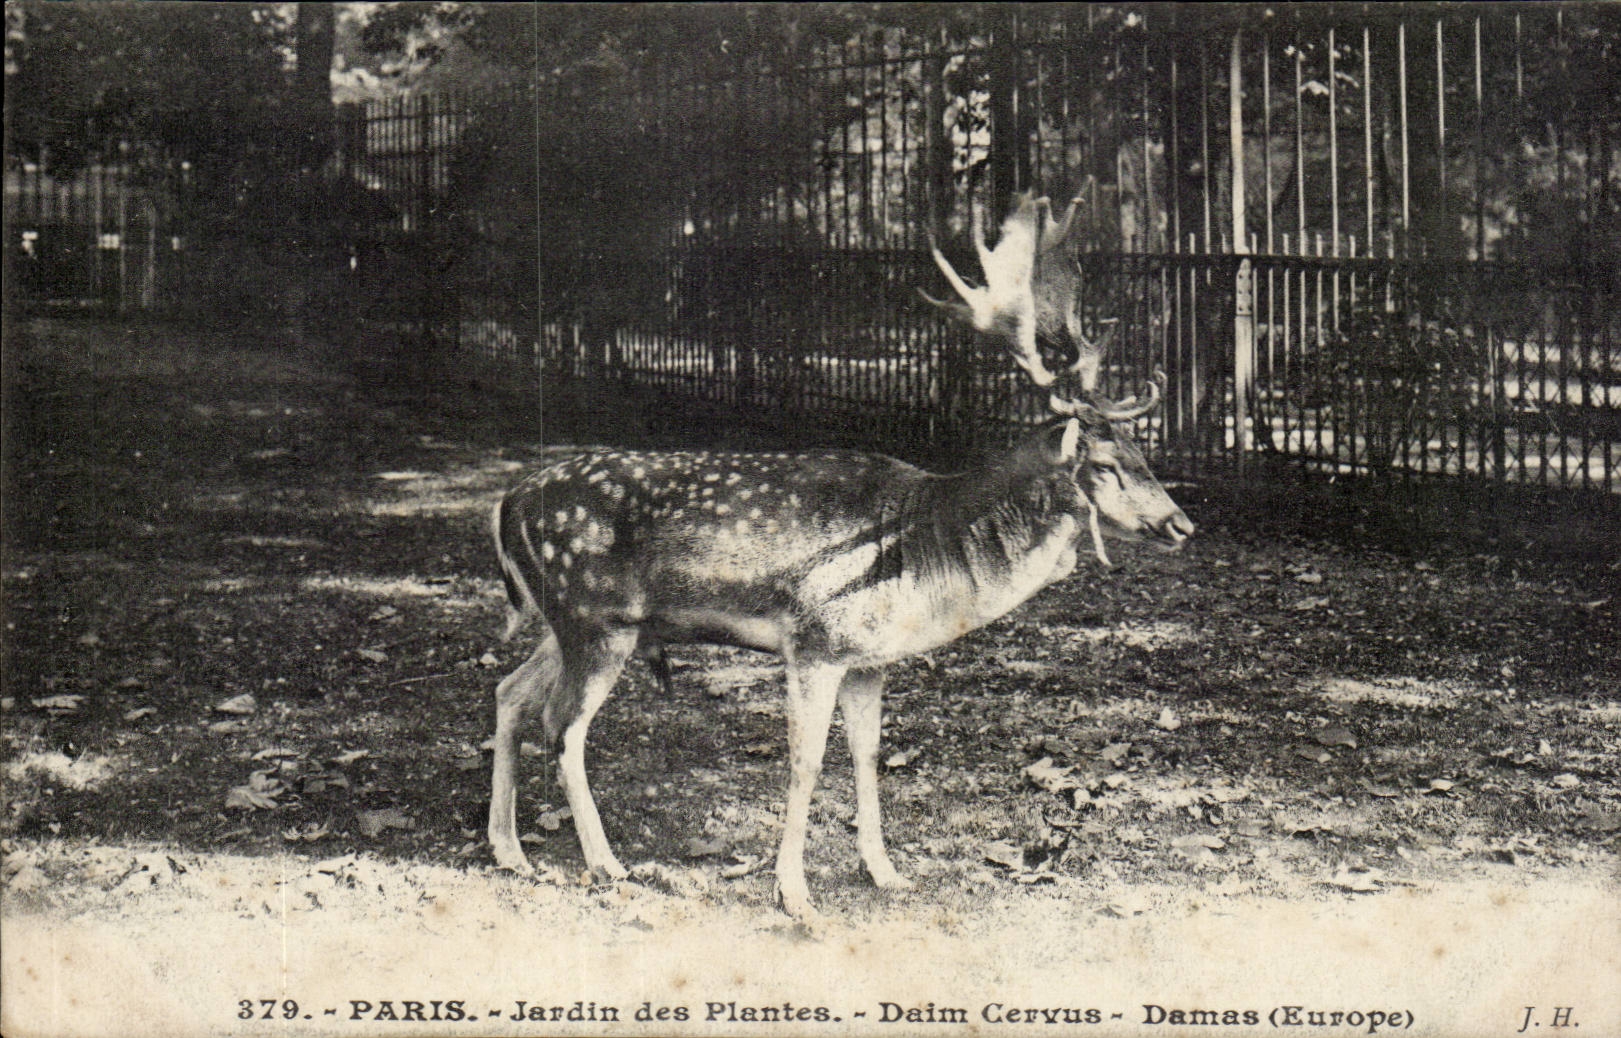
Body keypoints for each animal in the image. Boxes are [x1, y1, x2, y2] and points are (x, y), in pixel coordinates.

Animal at [486, 194, 1194, 920]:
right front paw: (793, 893)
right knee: (562, 724)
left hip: (568, 622)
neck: (929, 552)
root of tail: (507, 504)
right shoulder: (815, 642)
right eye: (1106, 463)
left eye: (1144, 454)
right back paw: (604, 863)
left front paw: (884, 872)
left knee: (509, 692)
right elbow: (804, 761)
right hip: (595, 619)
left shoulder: (868, 660)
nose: (1180, 524)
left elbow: (867, 754)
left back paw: (510, 851)